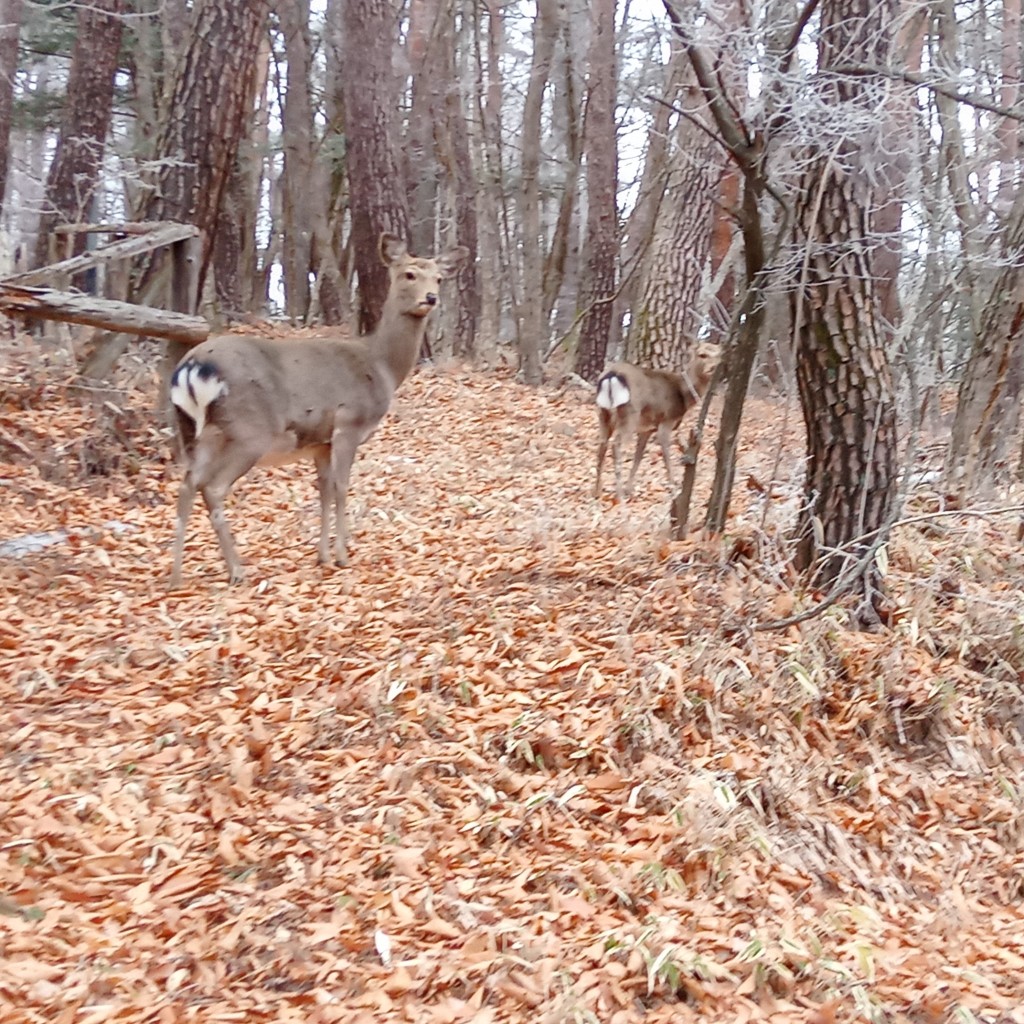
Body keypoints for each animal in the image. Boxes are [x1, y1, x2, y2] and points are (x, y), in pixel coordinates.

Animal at [169, 232, 468, 585]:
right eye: (409, 274)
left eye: (438, 277)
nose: (431, 298)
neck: (381, 366)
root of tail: (192, 366)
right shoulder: (348, 424)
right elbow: (341, 487)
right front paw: (342, 556)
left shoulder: (320, 442)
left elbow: (323, 490)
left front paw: (322, 555)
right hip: (249, 430)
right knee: (213, 487)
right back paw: (237, 570)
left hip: (193, 429)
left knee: (188, 484)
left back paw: (176, 575)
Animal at [593, 339, 720, 503]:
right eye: (702, 354)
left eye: (719, 356)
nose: (713, 368)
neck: (683, 395)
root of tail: (611, 375)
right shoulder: (666, 420)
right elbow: (666, 455)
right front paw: (674, 488)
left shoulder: (647, 429)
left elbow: (638, 457)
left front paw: (630, 489)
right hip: (629, 414)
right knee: (616, 445)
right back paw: (619, 495)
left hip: (603, 413)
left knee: (602, 445)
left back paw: (597, 491)